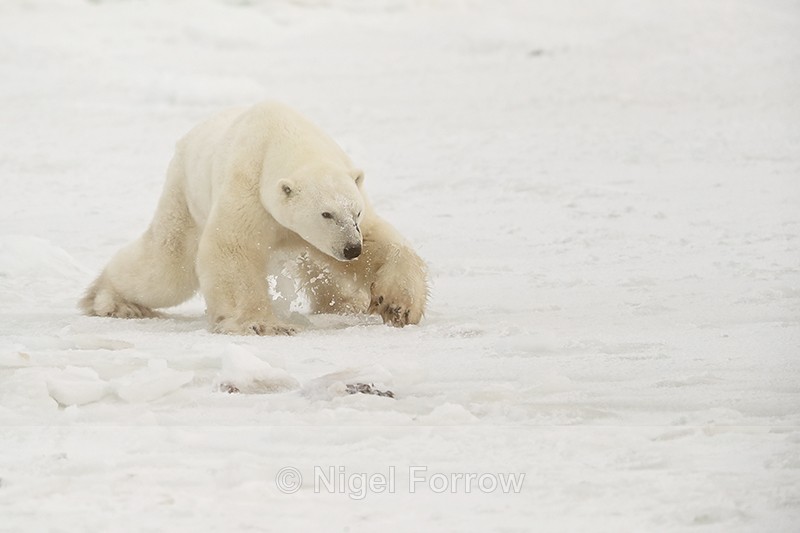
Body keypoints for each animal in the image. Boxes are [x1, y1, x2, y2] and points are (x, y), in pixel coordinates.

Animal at [79, 101, 428, 335]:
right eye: (326, 213)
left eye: (355, 211)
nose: (350, 248)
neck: (284, 135)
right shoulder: (248, 184)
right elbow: (233, 248)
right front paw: (264, 324)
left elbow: (379, 242)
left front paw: (398, 305)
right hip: (185, 195)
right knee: (167, 269)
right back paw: (110, 301)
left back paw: (346, 303)